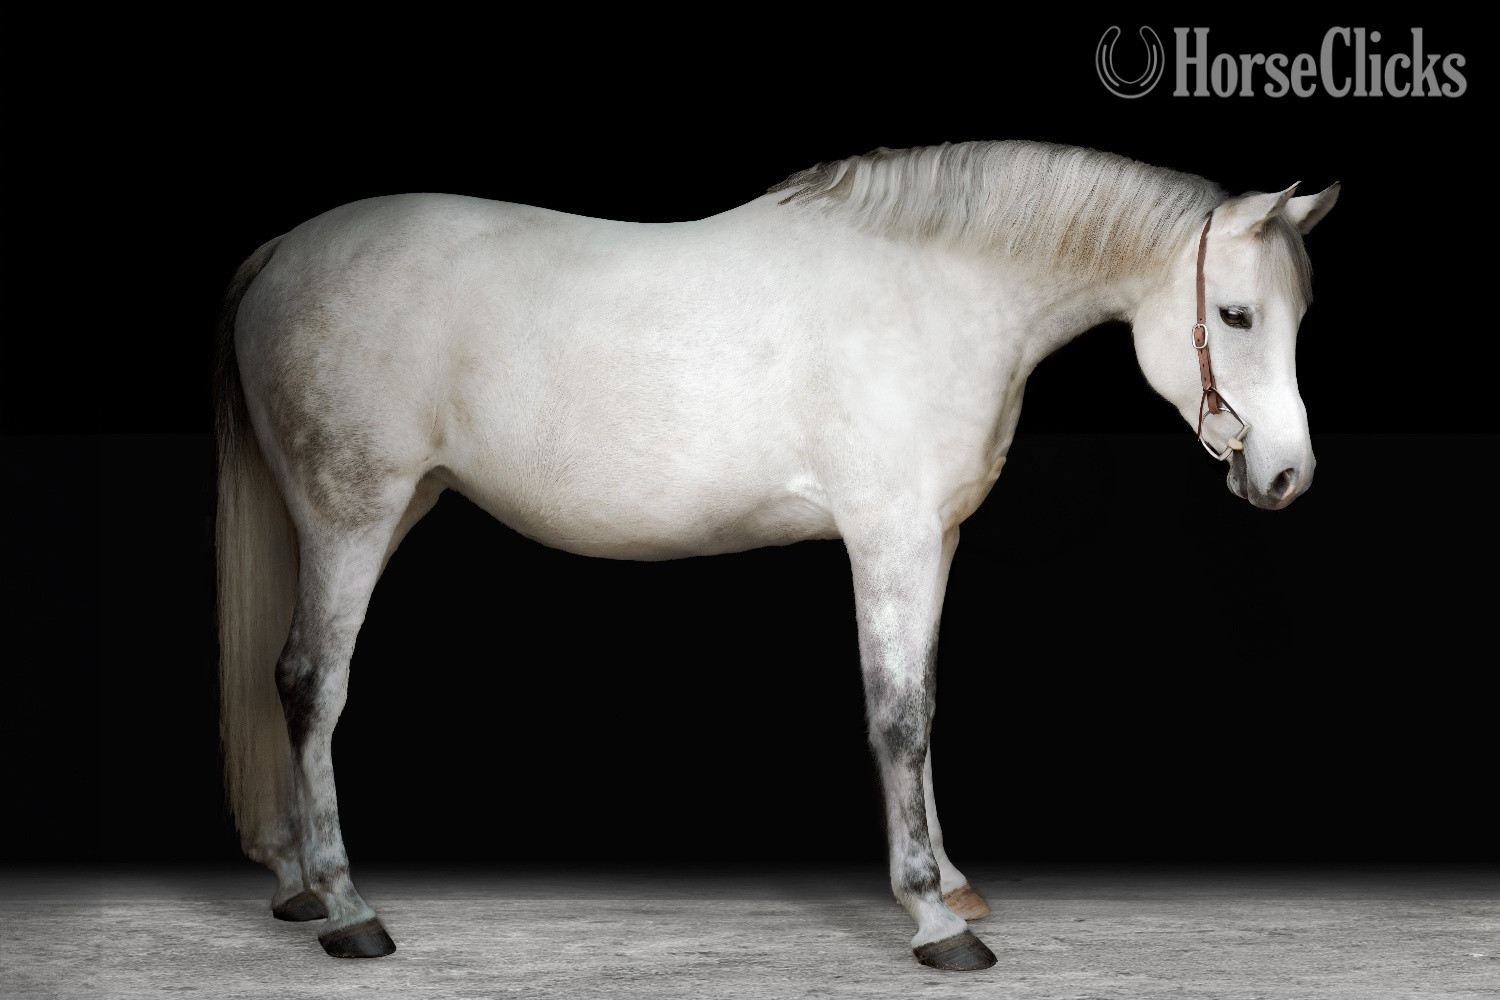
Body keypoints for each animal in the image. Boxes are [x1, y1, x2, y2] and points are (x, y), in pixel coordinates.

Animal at [213, 139, 1339, 971]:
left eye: (1296, 316)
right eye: (1236, 315)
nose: (1287, 475)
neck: (930, 295)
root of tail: (284, 250)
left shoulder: (933, 538)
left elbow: (928, 704)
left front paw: (950, 878)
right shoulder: (888, 535)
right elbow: (896, 716)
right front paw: (935, 921)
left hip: (384, 509)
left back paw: (298, 886)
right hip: (351, 516)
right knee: (310, 684)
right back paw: (348, 908)